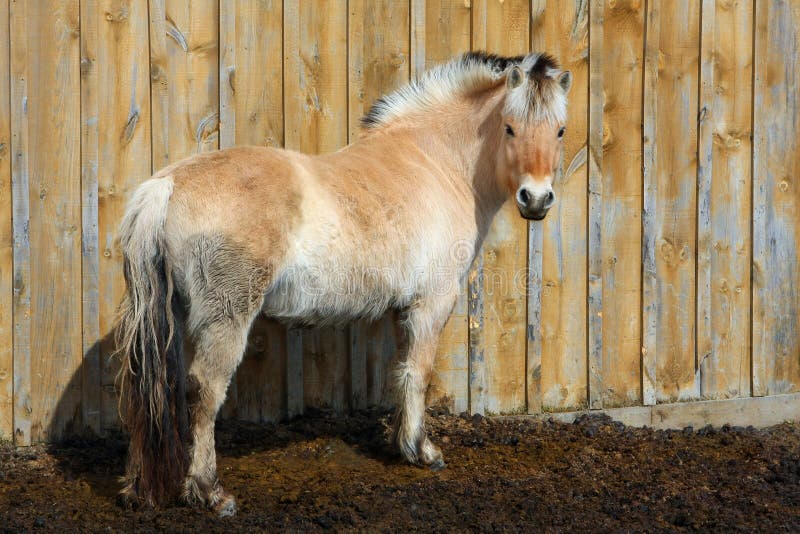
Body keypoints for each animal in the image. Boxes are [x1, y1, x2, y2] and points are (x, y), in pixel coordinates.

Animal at [115, 50, 572, 516]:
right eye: (510, 127)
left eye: (559, 130)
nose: (536, 199)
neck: (436, 162)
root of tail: (167, 184)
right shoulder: (432, 302)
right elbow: (419, 372)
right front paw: (422, 450)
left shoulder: (404, 309)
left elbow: (402, 371)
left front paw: (400, 444)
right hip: (226, 317)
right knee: (205, 392)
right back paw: (210, 491)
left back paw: (141, 487)